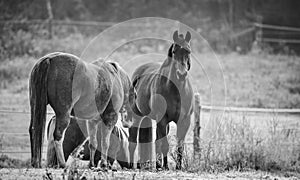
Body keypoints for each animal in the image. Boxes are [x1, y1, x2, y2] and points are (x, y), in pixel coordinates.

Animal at [129, 31, 195, 170]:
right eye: (174, 51)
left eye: (188, 51)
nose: (181, 74)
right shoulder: (162, 119)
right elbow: (165, 144)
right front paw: (166, 167)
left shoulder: (184, 121)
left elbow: (179, 145)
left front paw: (178, 167)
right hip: (137, 116)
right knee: (132, 141)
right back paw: (132, 165)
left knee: (156, 142)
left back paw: (157, 164)